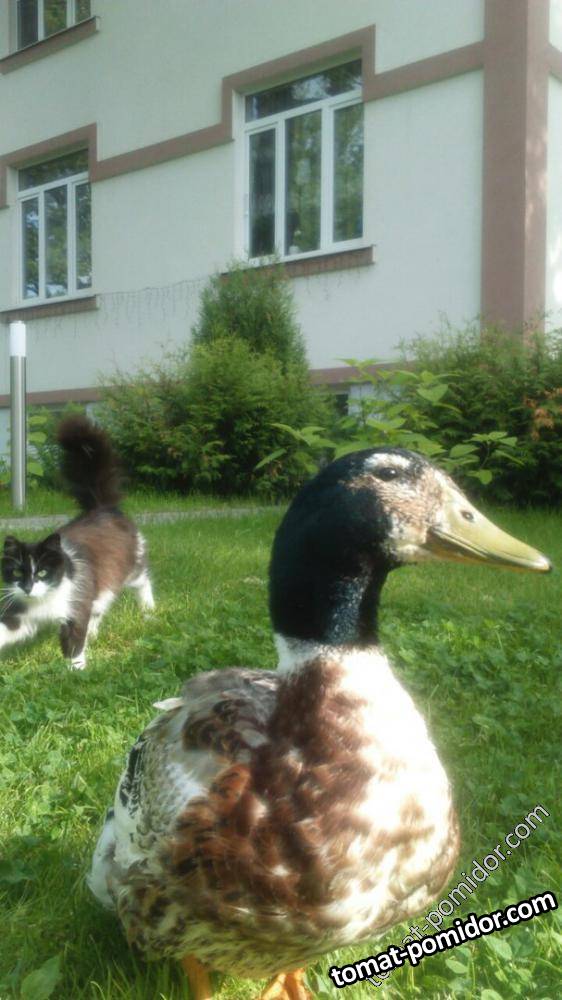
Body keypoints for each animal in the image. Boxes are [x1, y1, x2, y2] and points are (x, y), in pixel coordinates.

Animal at [0, 415, 154, 669]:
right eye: (17, 573)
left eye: (42, 572)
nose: (28, 588)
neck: (46, 599)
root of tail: (102, 508)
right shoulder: (23, 614)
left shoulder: (76, 603)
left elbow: (74, 643)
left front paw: (77, 671)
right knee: (100, 605)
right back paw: (94, 633)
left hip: (131, 562)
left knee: (143, 580)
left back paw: (149, 611)